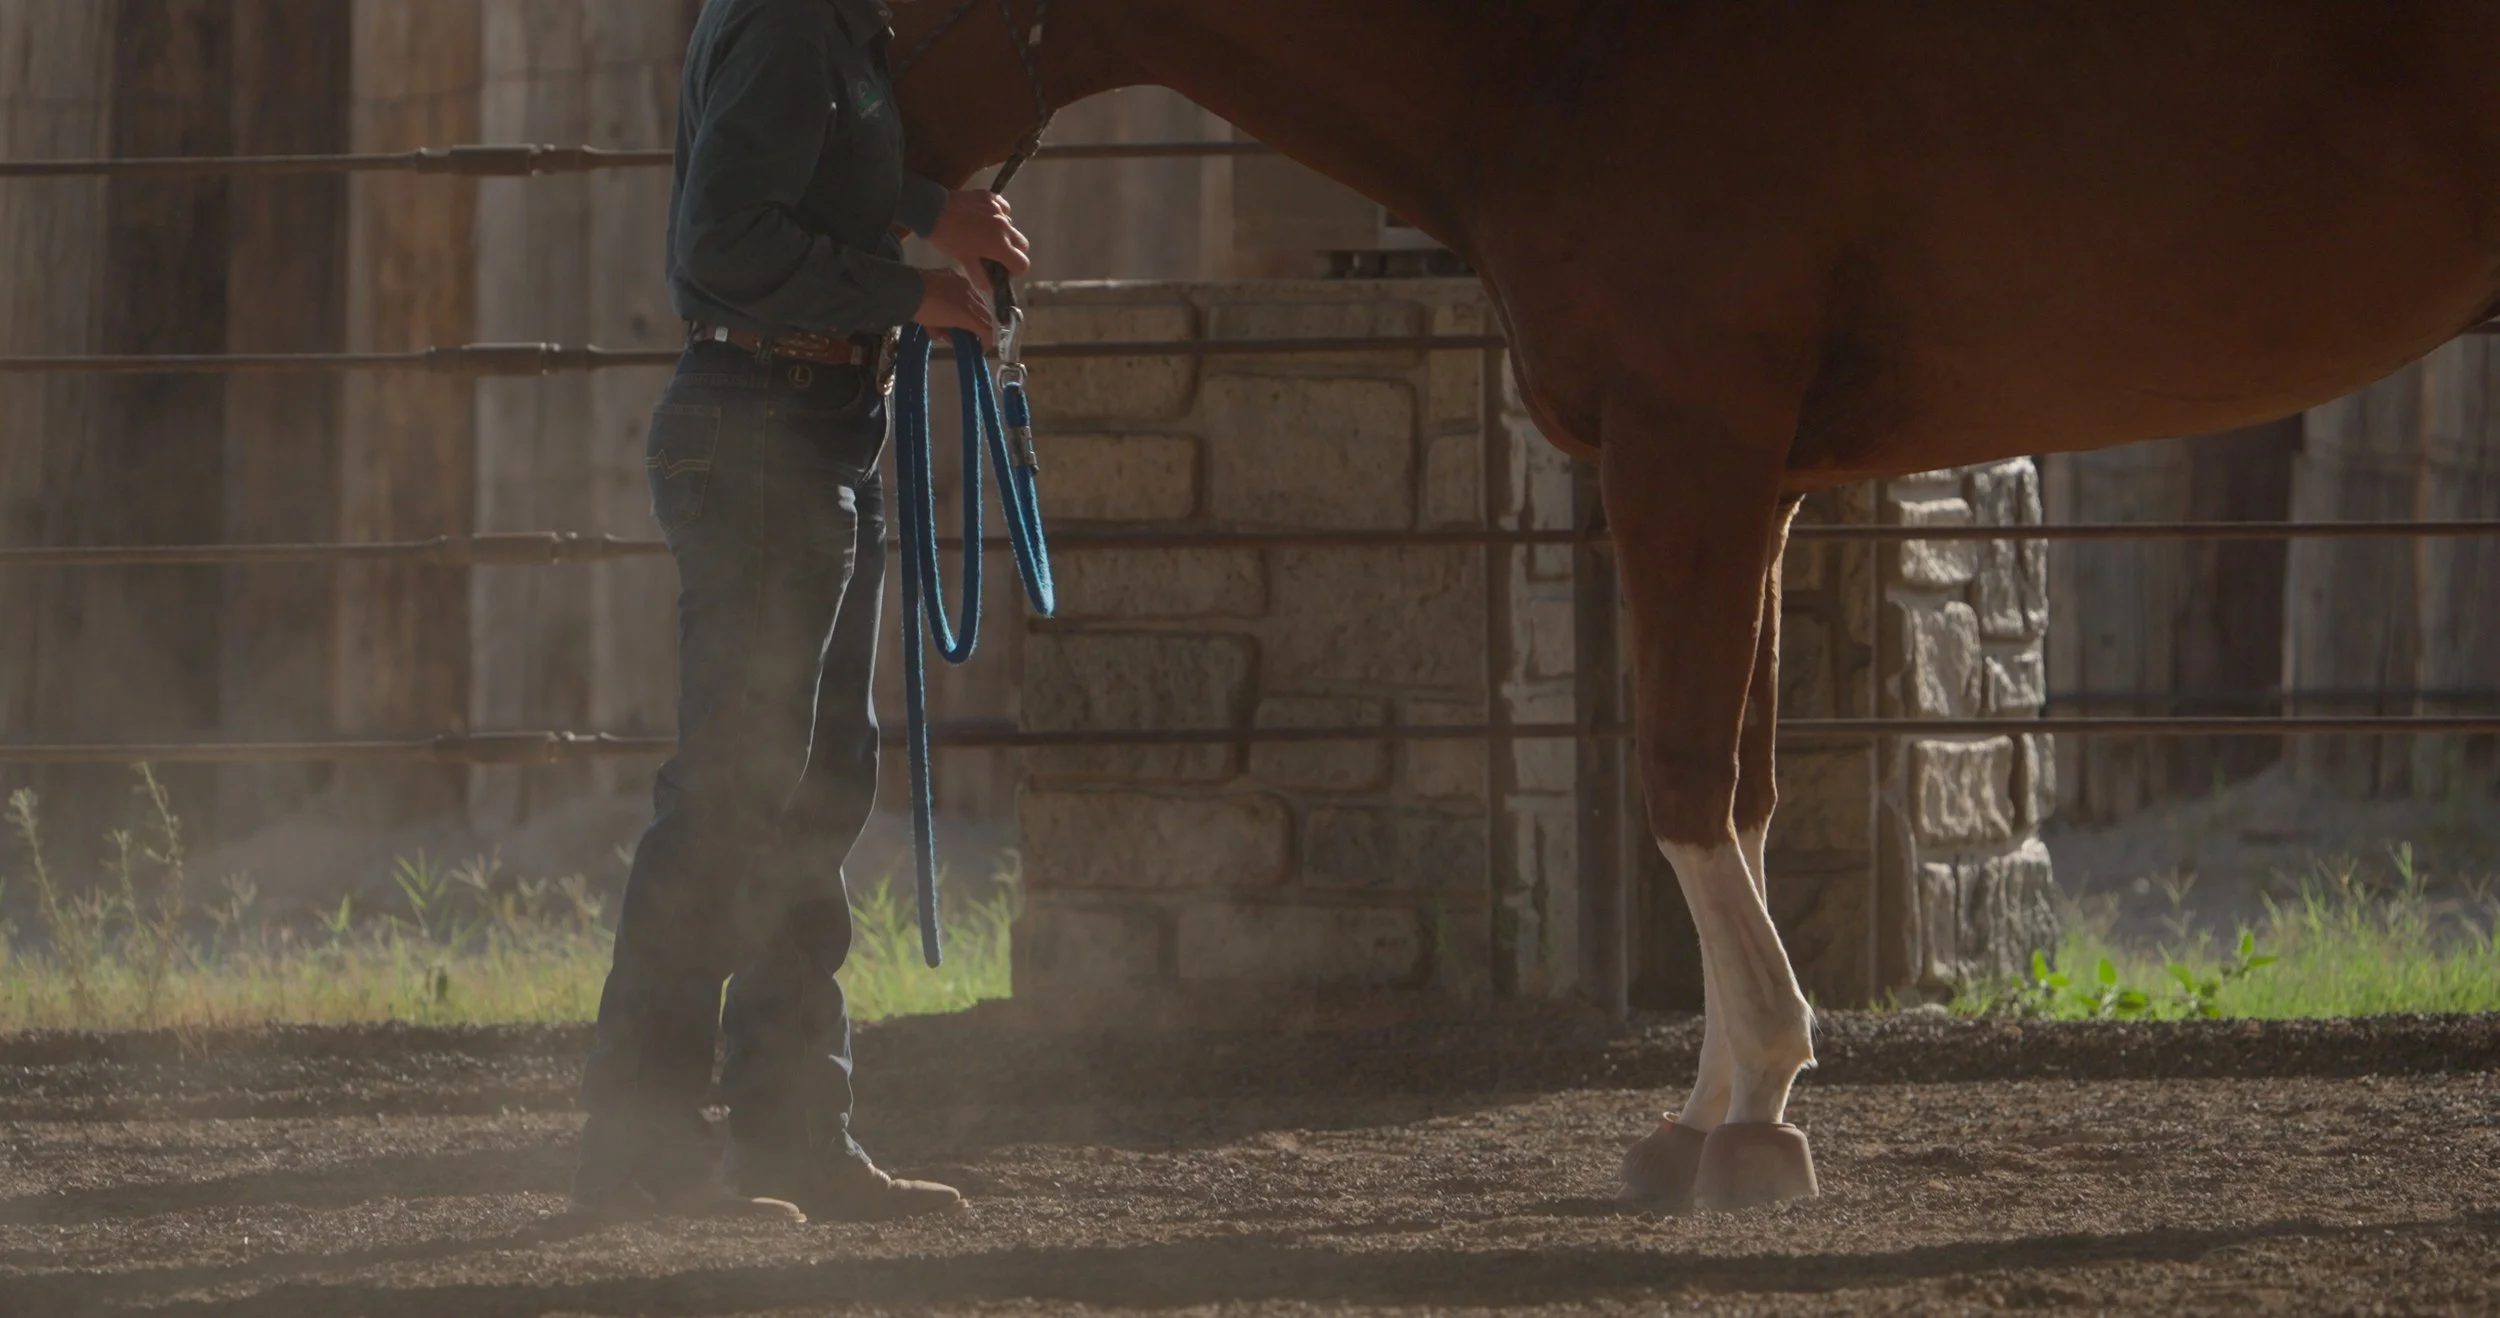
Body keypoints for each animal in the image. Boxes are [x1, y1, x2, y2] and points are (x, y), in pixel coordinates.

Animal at [888, 0, 2500, 1211]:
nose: (900, 222)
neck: (1573, 52)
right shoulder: (1756, 485)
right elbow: (1746, 787)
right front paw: (1714, 1111)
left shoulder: (1688, 456)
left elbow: (1677, 781)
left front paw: (1762, 1110)